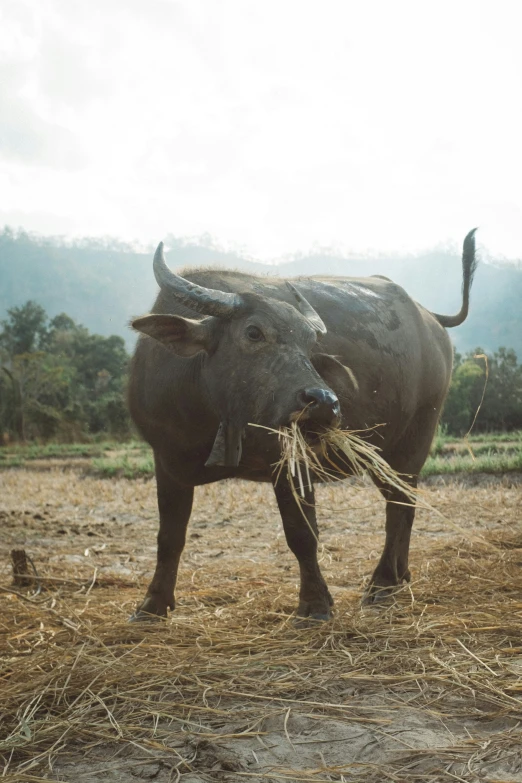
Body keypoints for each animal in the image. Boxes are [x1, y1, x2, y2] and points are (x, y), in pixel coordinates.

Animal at [129, 230, 476, 620]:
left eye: (309, 343)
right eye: (253, 332)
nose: (323, 402)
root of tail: (429, 317)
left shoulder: (293, 463)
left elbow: (301, 533)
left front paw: (315, 604)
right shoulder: (166, 461)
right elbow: (169, 536)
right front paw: (153, 604)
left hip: (417, 435)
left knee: (399, 504)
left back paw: (383, 583)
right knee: (403, 502)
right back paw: (400, 575)